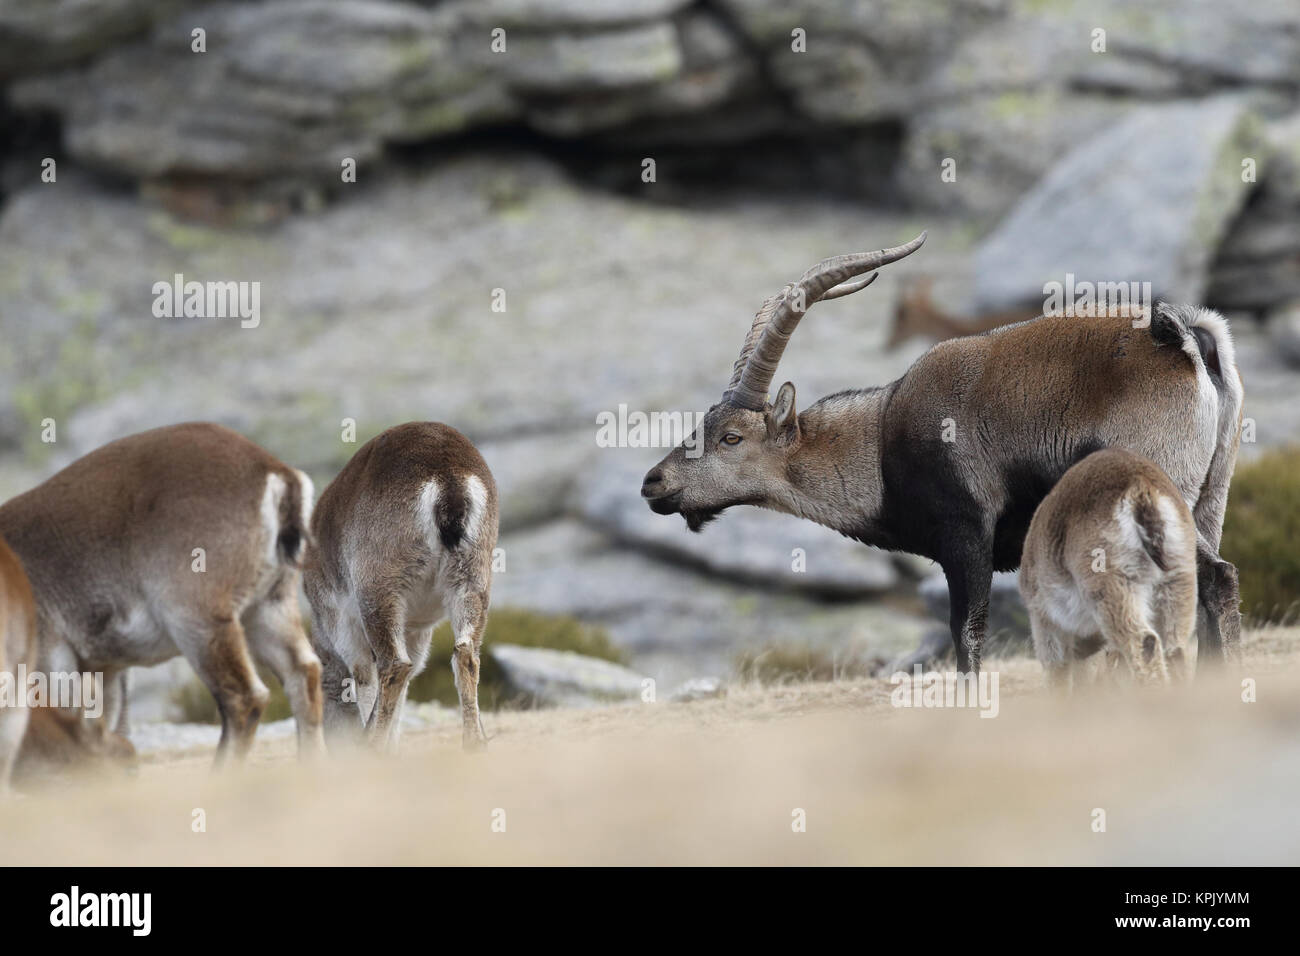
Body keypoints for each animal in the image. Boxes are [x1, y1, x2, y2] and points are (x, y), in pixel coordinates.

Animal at [644, 234, 1242, 671]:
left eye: (731, 437)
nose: (654, 483)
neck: (880, 443)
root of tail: (1185, 342)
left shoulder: (967, 539)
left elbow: (967, 635)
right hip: (1209, 497)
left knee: (1214, 578)